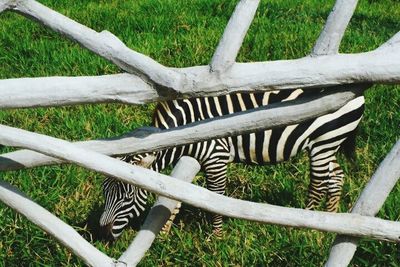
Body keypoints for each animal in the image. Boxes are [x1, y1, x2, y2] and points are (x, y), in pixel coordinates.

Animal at [98, 89, 364, 241]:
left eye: (127, 197)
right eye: (104, 194)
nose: (101, 234)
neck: (186, 131)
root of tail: (359, 95)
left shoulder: (217, 157)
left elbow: (215, 199)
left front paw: (216, 238)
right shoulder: (192, 158)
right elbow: (176, 195)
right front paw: (162, 236)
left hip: (323, 142)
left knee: (318, 185)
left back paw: (305, 228)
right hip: (328, 145)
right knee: (336, 176)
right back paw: (330, 219)